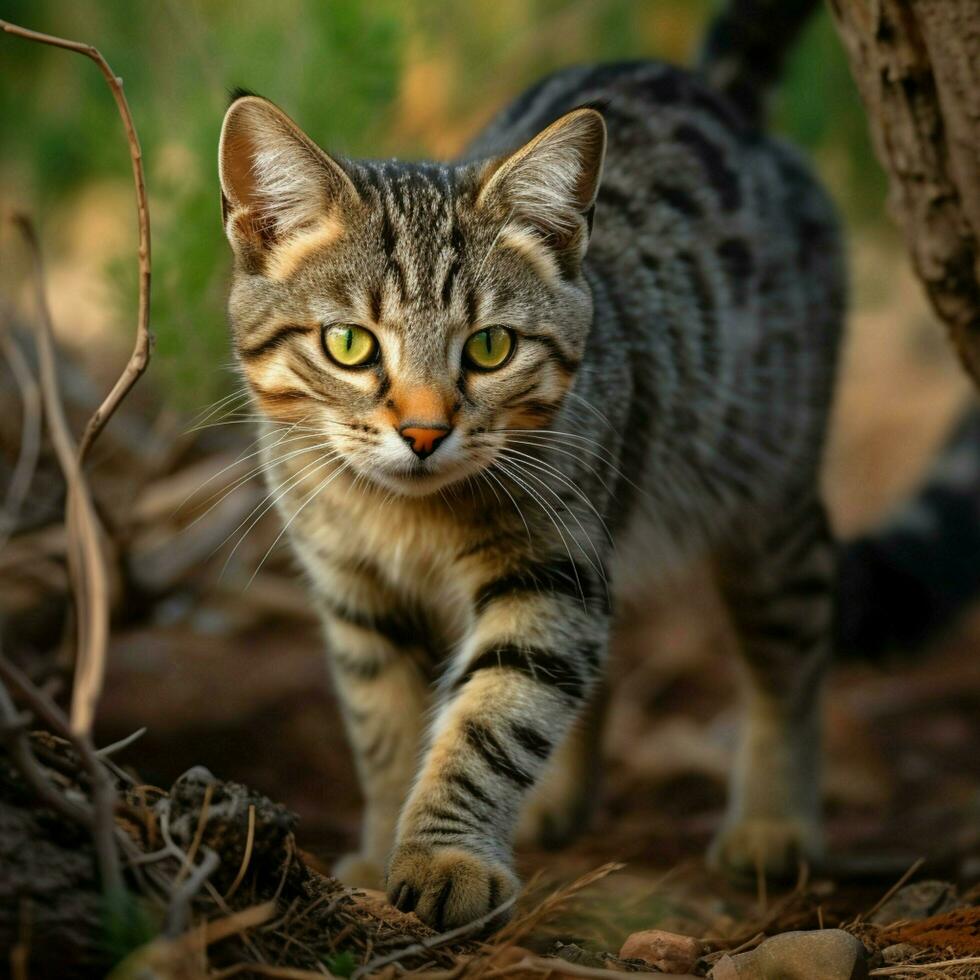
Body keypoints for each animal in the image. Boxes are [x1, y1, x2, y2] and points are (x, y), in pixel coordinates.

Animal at [220, 0, 844, 928]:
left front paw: (442, 854)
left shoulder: (549, 567)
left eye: (489, 348)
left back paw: (775, 818)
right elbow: (384, 725)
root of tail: (717, 94)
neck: (405, 517)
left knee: (791, 649)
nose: (425, 432)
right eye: (349, 344)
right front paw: (383, 843)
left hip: (764, 492)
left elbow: (494, 718)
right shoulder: (357, 591)